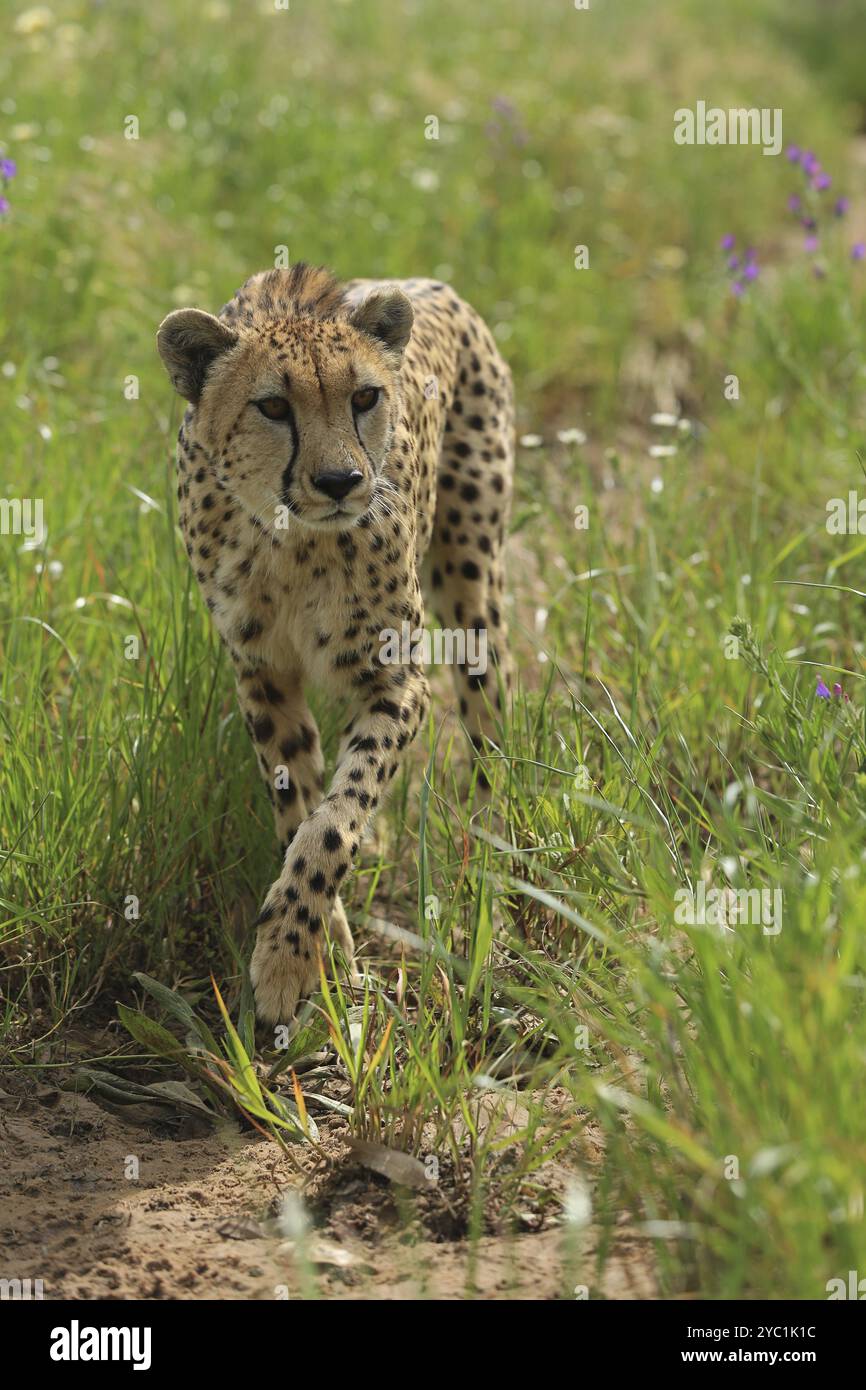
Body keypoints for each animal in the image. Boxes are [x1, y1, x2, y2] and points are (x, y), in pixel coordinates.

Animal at [156, 262, 514, 1023]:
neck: (292, 540)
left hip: (474, 583)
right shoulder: (263, 675)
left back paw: (493, 856)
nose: (341, 481)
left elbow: (336, 819)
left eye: (365, 397)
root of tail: (430, 282)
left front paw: (288, 956)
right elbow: (300, 809)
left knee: (488, 725)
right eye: (272, 406)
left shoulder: (395, 681)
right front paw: (323, 953)